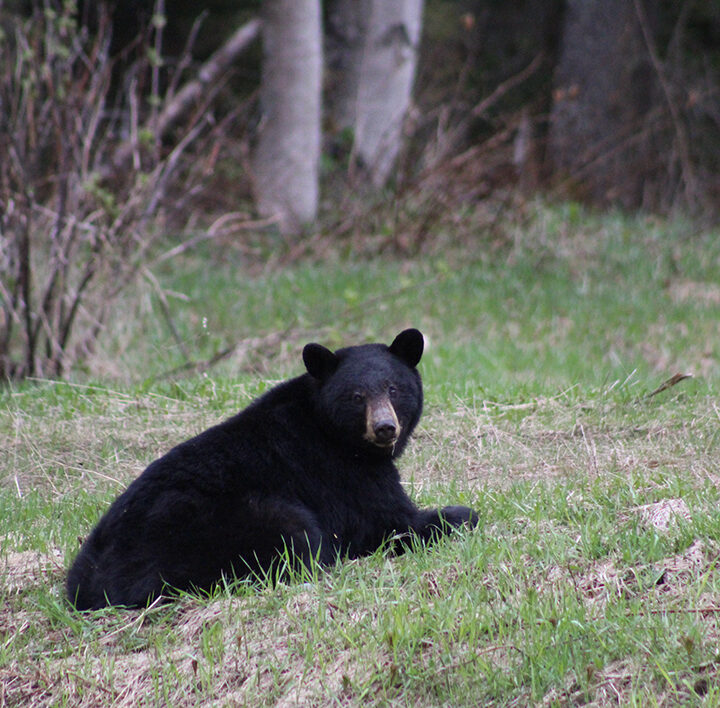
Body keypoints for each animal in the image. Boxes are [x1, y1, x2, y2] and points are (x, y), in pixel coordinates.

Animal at [67, 330, 478, 612]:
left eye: (393, 389)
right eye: (357, 396)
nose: (384, 428)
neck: (331, 432)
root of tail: (89, 588)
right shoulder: (341, 476)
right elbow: (389, 522)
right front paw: (458, 515)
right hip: (230, 522)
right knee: (297, 539)